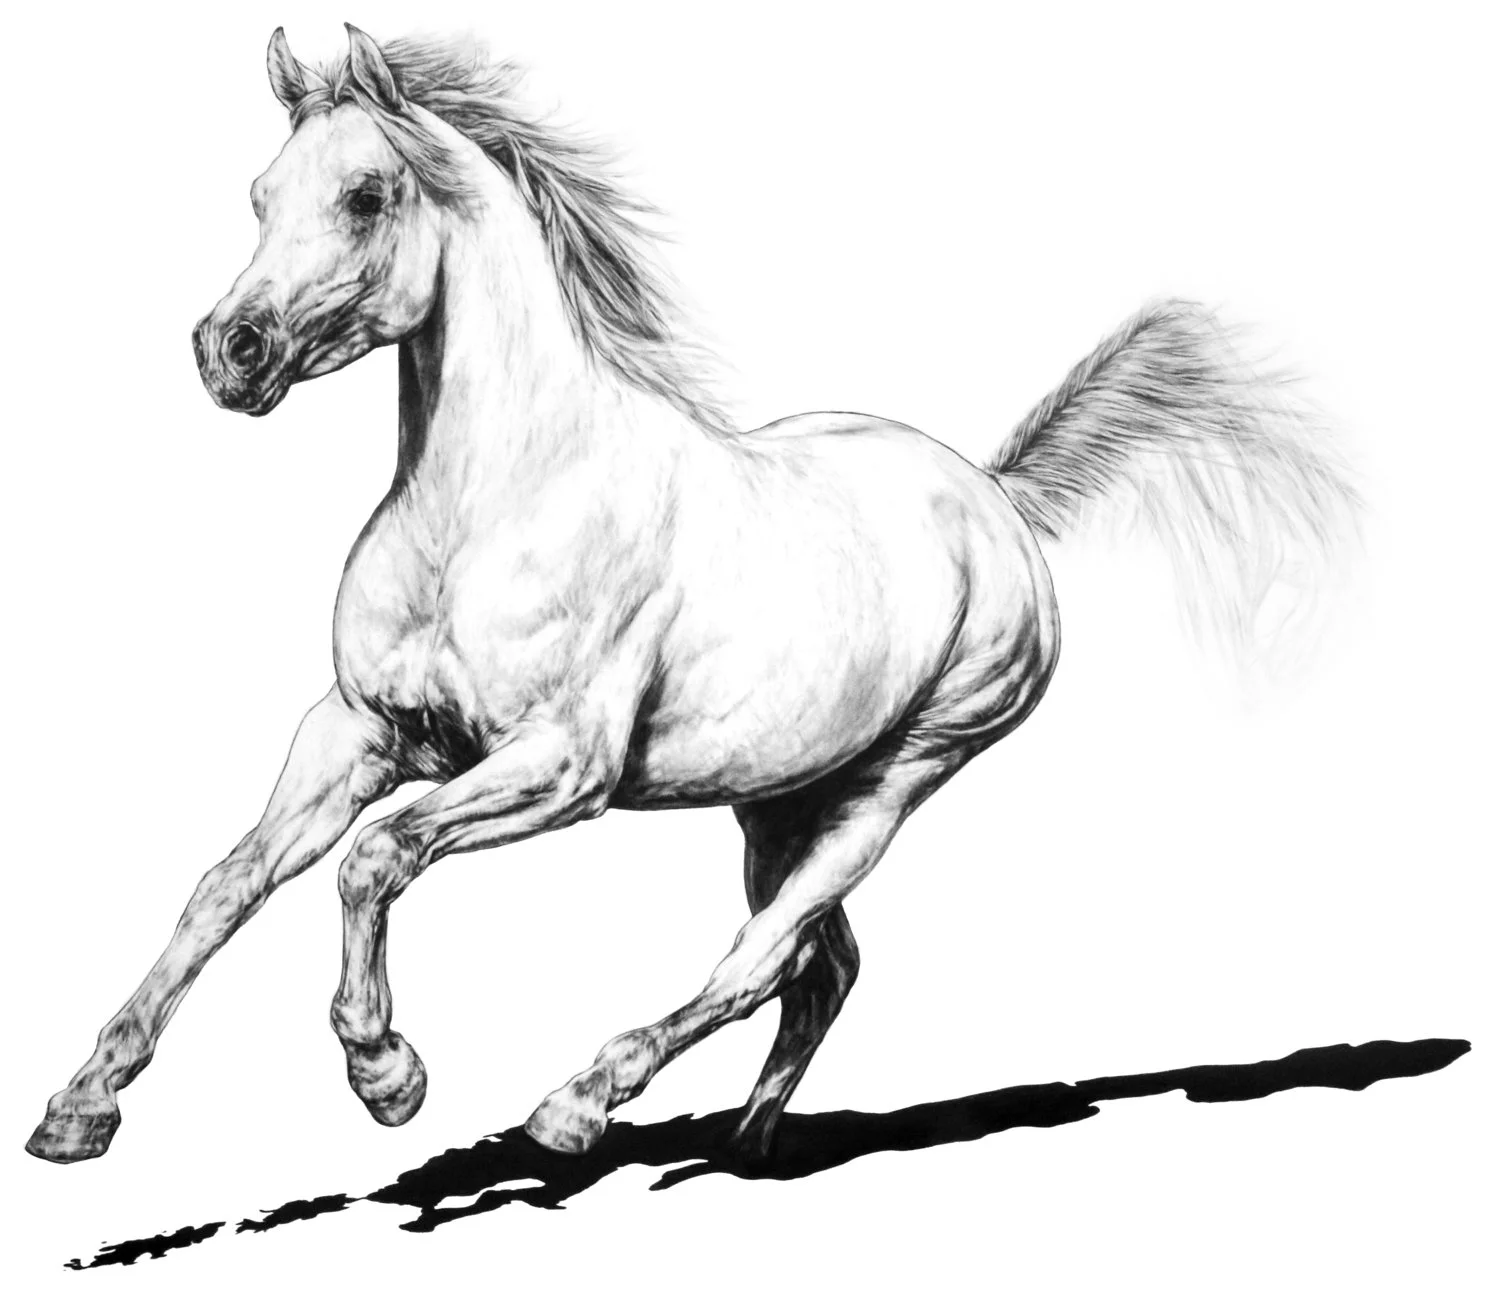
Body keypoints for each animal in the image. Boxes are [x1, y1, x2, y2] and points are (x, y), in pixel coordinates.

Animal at [26, 26, 1358, 1165]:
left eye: (366, 194)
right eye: (260, 195)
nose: (228, 350)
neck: (496, 501)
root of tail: (993, 498)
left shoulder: (559, 767)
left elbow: (375, 858)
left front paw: (387, 1074)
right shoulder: (359, 729)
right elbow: (226, 883)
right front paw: (79, 1109)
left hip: (897, 781)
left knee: (760, 962)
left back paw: (575, 1108)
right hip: (780, 799)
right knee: (823, 969)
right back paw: (745, 1141)